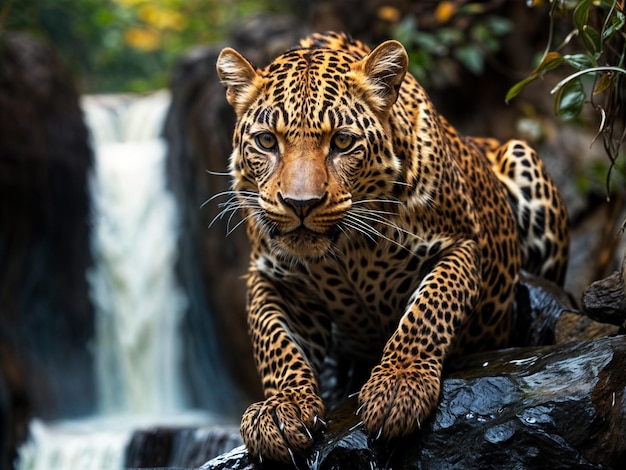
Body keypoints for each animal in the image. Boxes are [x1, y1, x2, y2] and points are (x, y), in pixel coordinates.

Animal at [213, 31, 564, 464]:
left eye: (342, 141)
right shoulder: (273, 276)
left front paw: (399, 385)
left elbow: (430, 308)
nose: (300, 204)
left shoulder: (461, 245)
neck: (345, 253)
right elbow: (273, 340)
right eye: (266, 141)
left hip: (523, 157)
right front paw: (283, 406)